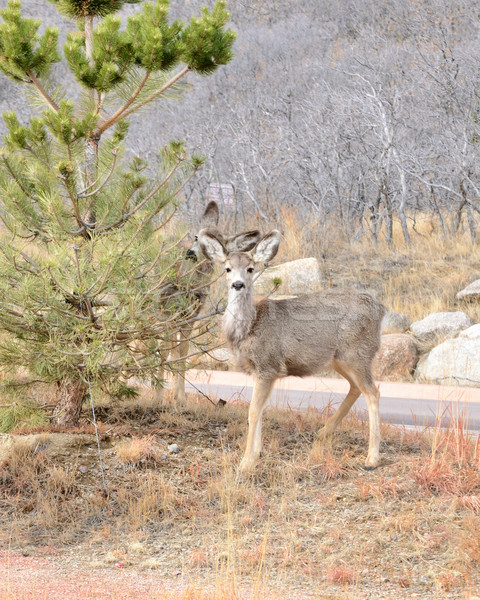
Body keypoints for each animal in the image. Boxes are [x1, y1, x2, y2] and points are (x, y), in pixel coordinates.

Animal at [199, 230, 386, 474]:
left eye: (250, 268)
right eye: (227, 268)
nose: (238, 284)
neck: (249, 327)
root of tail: (381, 309)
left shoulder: (268, 365)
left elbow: (253, 411)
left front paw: (247, 462)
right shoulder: (260, 371)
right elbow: (260, 410)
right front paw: (258, 453)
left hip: (357, 353)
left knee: (373, 392)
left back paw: (372, 458)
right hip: (339, 359)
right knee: (356, 388)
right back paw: (324, 432)